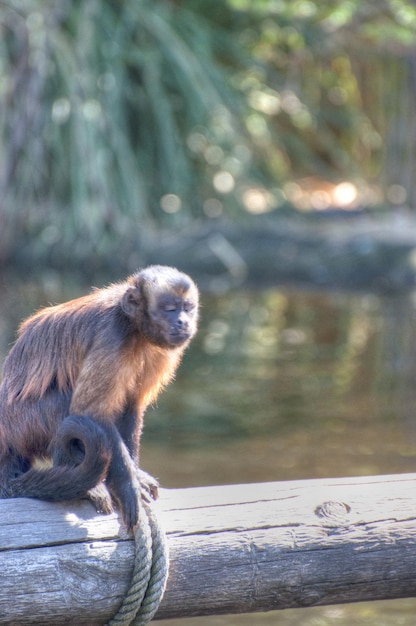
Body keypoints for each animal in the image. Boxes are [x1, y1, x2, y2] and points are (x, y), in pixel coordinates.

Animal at [0, 264, 200, 528]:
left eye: (188, 308)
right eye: (170, 309)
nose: (183, 321)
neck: (134, 327)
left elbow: (131, 406)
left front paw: (136, 475)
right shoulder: (112, 337)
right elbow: (92, 411)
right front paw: (128, 486)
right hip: (22, 424)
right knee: (67, 403)